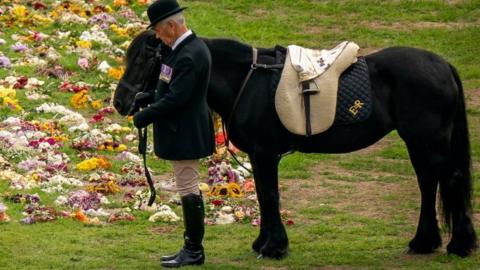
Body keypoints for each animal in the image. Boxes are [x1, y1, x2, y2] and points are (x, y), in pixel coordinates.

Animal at [113, 30, 476, 258]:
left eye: (145, 59)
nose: (121, 102)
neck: (248, 81)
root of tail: (442, 65)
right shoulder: (259, 155)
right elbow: (264, 196)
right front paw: (263, 242)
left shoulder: (264, 153)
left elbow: (269, 196)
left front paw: (274, 247)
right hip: (419, 143)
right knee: (429, 184)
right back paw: (424, 242)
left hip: (428, 141)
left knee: (450, 181)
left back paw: (459, 244)